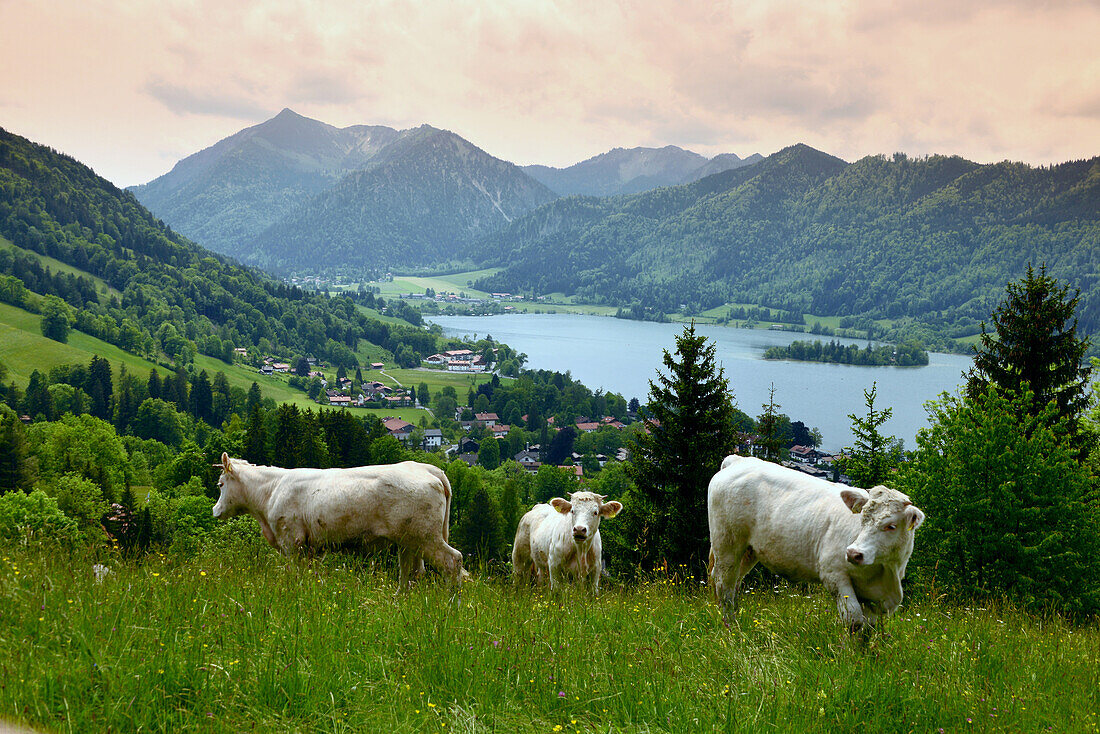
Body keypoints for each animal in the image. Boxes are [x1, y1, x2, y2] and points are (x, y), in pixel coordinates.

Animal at [211, 453, 464, 589]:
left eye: (220, 484)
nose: (215, 510)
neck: (272, 490)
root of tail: (427, 468)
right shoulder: (311, 548)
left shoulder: (291, 542)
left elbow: (294, 575)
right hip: (409, 541)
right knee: (411, 572)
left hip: (426, 537)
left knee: (453, 561)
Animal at [708, 453, 924, 633]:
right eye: (862, 518)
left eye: (891, 526)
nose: (853, 553)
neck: (886, 573)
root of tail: (739, 460)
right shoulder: (834, 574)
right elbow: (853, 621)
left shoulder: (875, 599)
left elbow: (868, 629)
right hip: (727, 543)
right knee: (724, 586)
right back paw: (731, 629)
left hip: (748, 551)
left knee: (735, 583)